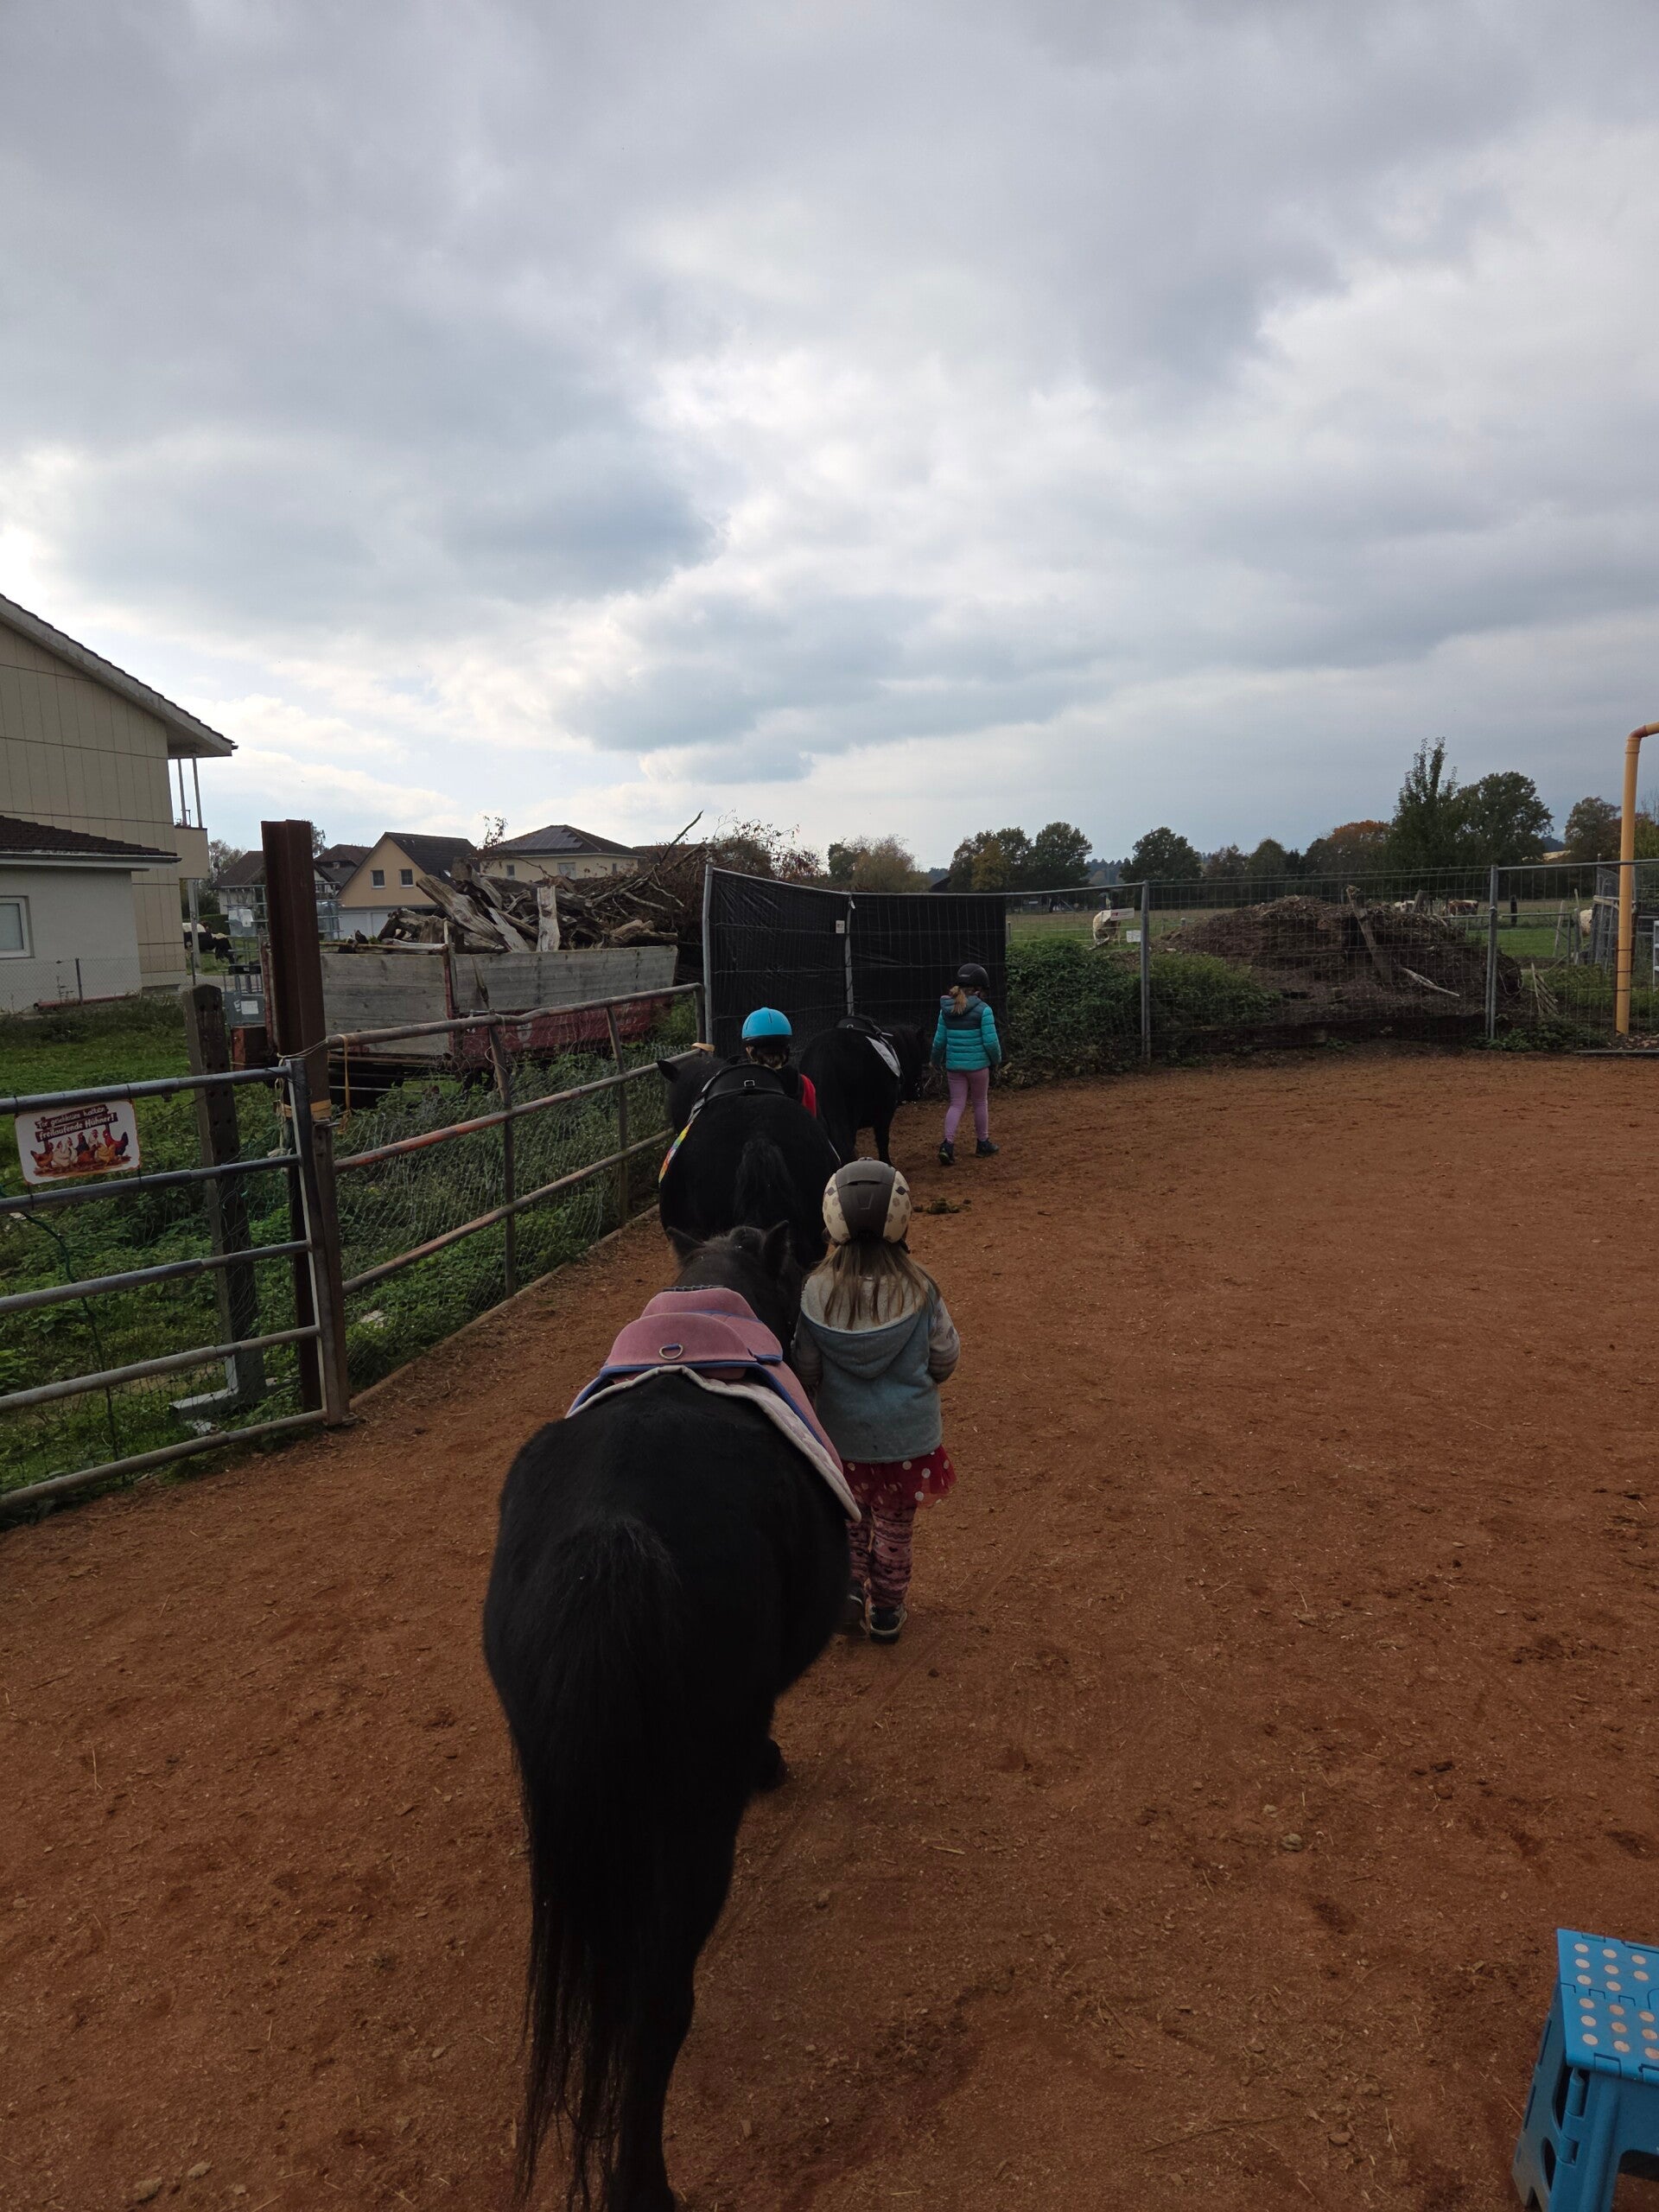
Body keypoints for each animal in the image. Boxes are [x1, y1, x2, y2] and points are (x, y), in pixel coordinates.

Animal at [798, 1017, 927, 1166]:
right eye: (920, 1055)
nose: (919, 1091)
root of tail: (825, 1051)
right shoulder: (885, 1113)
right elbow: (883, 1140)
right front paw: (887, 1163)